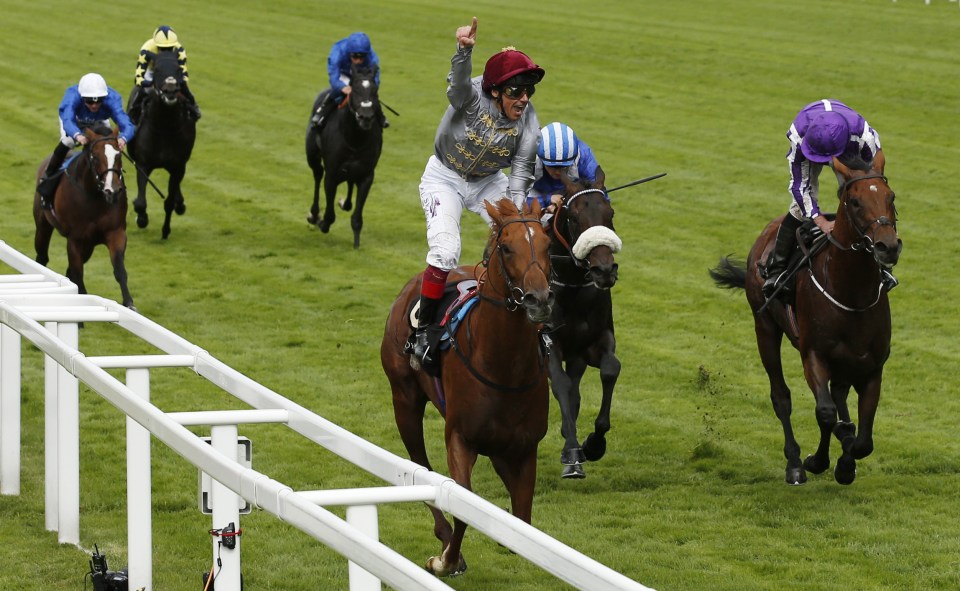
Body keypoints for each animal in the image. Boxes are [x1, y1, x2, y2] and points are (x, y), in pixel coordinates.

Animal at [125, 47, 197, 239]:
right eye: (157, 69)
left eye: (178, 69)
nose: (171, 90)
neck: (166, 127)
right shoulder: (143, 163)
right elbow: (140, 202)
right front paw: (141, 218)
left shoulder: (178, 165)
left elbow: (169, 201)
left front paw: (166, 230)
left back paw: (180, 203)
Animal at [308, 63, 382, 249]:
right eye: (354, 90)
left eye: (375, 91)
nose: (366, 117)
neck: (354, 138)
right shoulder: (332, 174)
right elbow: (329, 214)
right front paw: (323, 222)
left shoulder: (366, 175)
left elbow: (357, 216)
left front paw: (356, 243)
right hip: (312, 155)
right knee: (317, 174)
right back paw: (314, 214)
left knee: (349, 183)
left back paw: (345, 204)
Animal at [378, 199, 552, 580]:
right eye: (506, 247)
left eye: (548, 244)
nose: (539, 299)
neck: (505, 368)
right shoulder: (460, 438)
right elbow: (461, 507)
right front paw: (447, 559)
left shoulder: (524, 448)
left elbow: (522, 517)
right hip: (404, 398)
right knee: (420, 466)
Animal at [704, 153, 900, 486]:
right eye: (855, 201)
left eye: (891, 197)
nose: (888, 246)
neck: (852, 294)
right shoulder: (814, 355)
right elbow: (826, 413)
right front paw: (817, 460)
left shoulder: (872, 366)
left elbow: (863, 440)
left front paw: (846, 462)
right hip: (765, 329)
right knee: (781, 396)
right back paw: (794, 462)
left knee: (839, 396)